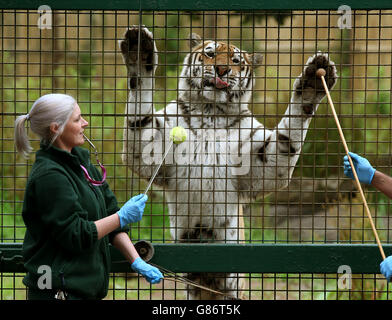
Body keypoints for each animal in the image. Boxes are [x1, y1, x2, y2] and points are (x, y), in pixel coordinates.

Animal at [118, 25, 336, 300]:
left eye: (236, 61)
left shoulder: (265, 162)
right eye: (210, 54)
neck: (211, 112)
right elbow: (139, 99)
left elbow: (290, 132)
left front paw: (311, 84)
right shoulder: (150, 147)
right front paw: (139, 52)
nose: (222, 70)